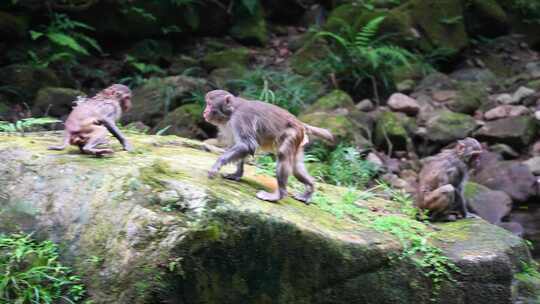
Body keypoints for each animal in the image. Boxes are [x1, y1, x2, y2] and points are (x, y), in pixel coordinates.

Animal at [202, 90, 334, 204]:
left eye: (209, 104)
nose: (204, 112)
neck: (231, 112)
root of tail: (299, 123)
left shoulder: (240, 119)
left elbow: (247, 145)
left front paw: (216, 165)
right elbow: (239, 146)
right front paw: (236, 174)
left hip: (292, 134)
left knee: (283, 155)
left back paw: (279, 195)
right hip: (299, 141)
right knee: (296, 168)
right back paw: (310, 188)